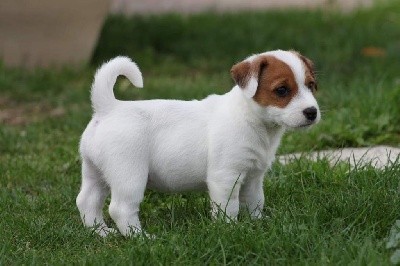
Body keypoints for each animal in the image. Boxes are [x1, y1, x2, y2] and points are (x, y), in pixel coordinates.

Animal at [77, 48, 322, 236]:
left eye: (311, 85)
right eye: (282, 90)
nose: (312, 112)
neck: (251, 119)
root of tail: (108, 108)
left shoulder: (253, 177)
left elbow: (255, 202)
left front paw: (258, 223)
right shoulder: (225, 177)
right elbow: (229, 207)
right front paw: (229, 230)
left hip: (95, 172)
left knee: (87, 201)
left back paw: (100, 232)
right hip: (129, 175)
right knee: (121, 208)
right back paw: (140, 237)